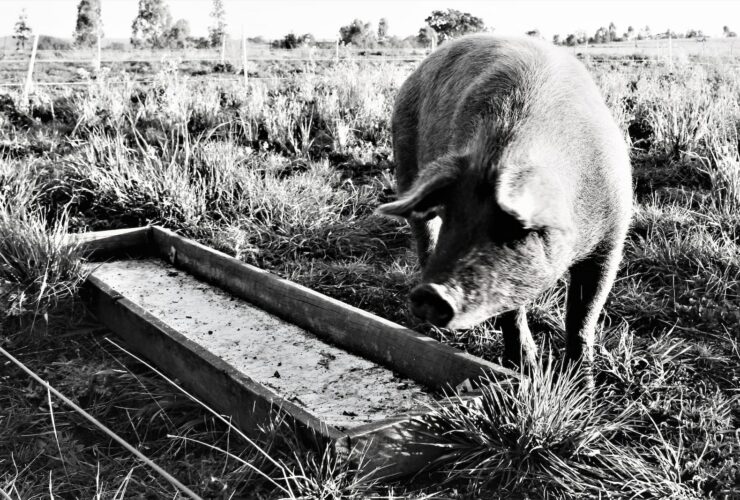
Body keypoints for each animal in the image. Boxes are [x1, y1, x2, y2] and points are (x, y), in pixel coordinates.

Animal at [377, 35, 632, 373]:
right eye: (453, 215)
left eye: (514, 226)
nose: (432, 293)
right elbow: (511, 311)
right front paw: (525, 369)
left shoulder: (612, 238)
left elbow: (583, 314)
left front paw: (580, 379)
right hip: (406, 167)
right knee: (423, 234)